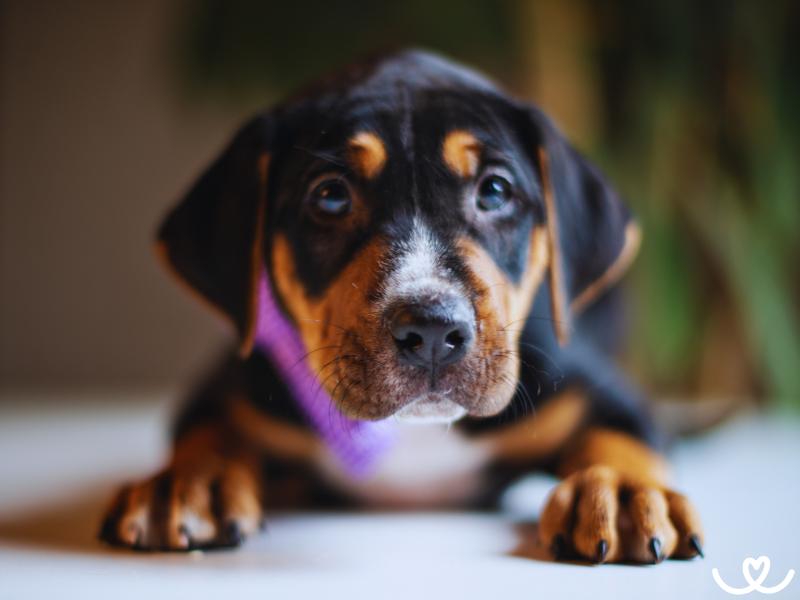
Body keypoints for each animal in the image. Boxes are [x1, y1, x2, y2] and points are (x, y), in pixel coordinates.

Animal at [98, 50, 700, 564]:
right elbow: (206, 434)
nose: (432, 332)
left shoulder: (597, 390)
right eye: (330, 196)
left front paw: (619, 490)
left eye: (495, 190)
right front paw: (187, 483)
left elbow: (620, 435)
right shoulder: (227, 389)